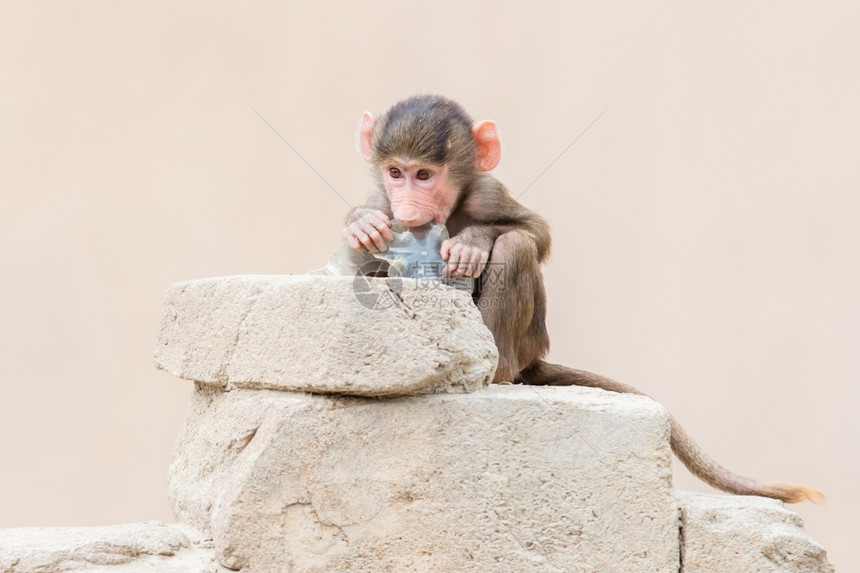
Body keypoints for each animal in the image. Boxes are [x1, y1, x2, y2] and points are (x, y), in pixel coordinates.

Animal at [342, 95, 820, 504]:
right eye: (395, 173)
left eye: (424, 175)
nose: (407, 206)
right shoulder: (382, 199)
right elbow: (365, 245)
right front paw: (361, 224)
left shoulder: (487, 191)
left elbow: (535, 234)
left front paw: (472, 243)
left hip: (528, 340)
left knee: (515, 247)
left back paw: (496, 369)